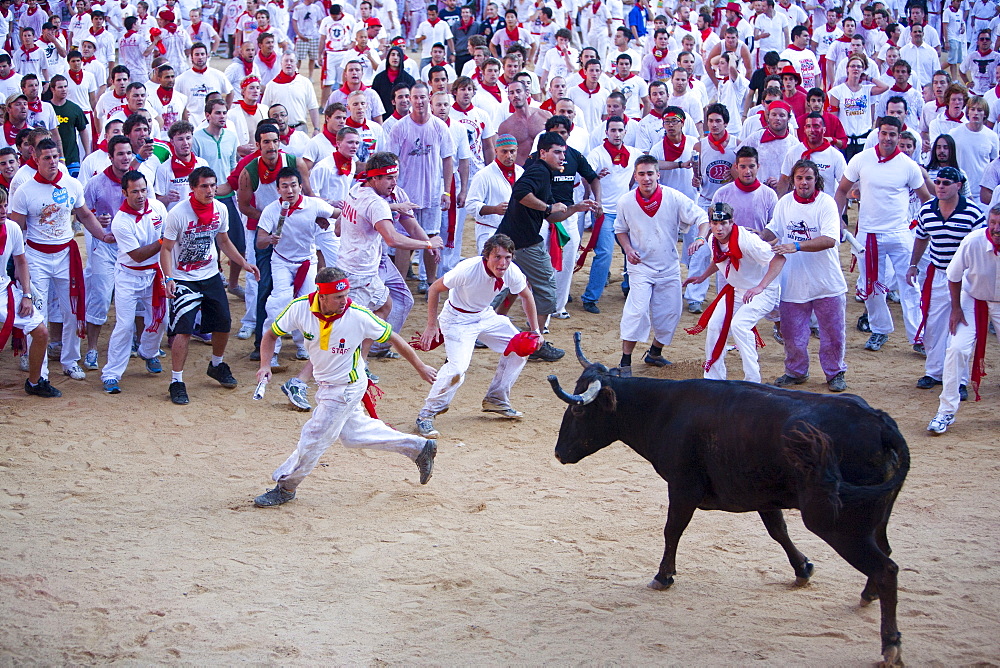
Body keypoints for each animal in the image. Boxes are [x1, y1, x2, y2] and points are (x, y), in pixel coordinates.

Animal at [552, 334, 912, 668]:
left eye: (577, 408)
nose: (558, 452)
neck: (664, 410)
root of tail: (880, 423)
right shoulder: (764, 496)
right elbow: (778, 531)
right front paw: (803, 568)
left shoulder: (682, 488)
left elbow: (672, 531)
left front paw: (663, 576)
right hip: (874, 519)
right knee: (886, 553)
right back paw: (868, 595)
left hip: (835, 523)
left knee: (887, 569)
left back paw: (890, 644)